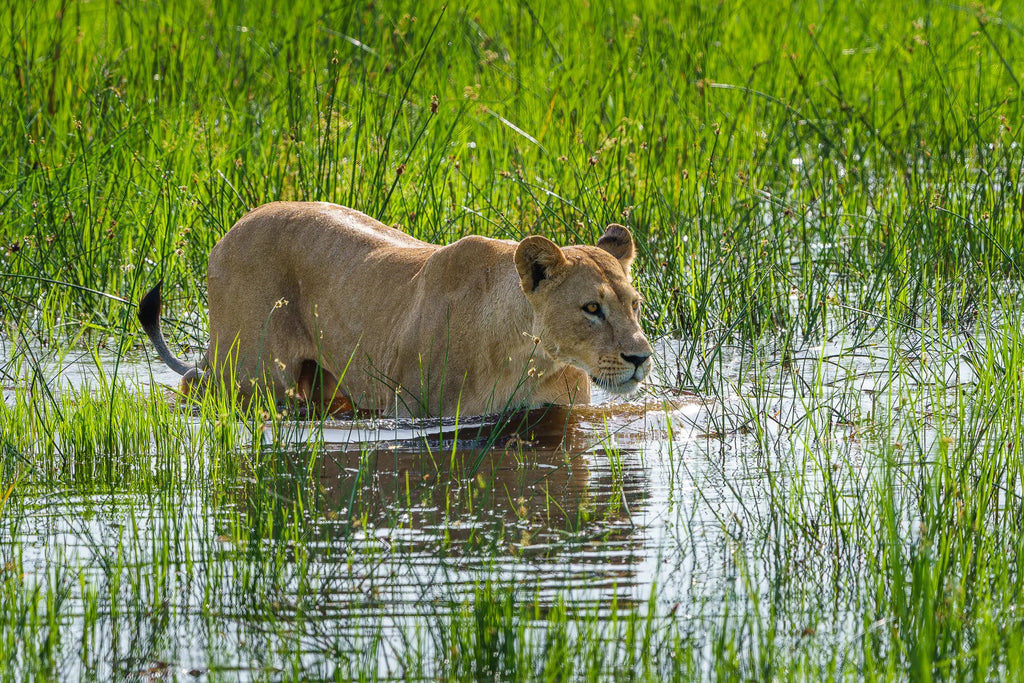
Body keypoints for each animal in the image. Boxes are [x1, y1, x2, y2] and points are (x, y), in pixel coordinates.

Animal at [138, 202, 652, 417]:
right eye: (591, 308)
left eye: (634, 306)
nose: (640, 358)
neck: (525, 358)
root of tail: (230, 231)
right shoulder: (414, 413)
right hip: (252, 374)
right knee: (193, 385)